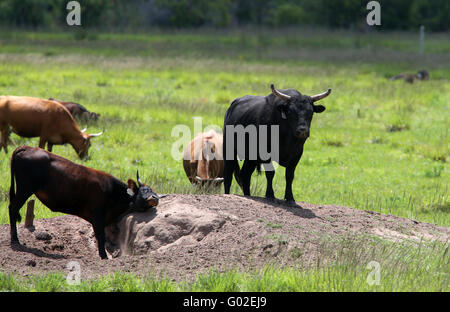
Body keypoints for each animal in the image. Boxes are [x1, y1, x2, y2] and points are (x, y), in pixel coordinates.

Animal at [8, 146, 160, 258]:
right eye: (143, 191)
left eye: (152, 190)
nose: (155, 198)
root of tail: (27, 147)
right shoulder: (97, 214)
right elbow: (101, 237)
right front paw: (104, 257)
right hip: (24, 188)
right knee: (12, 208)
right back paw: (15, 239)